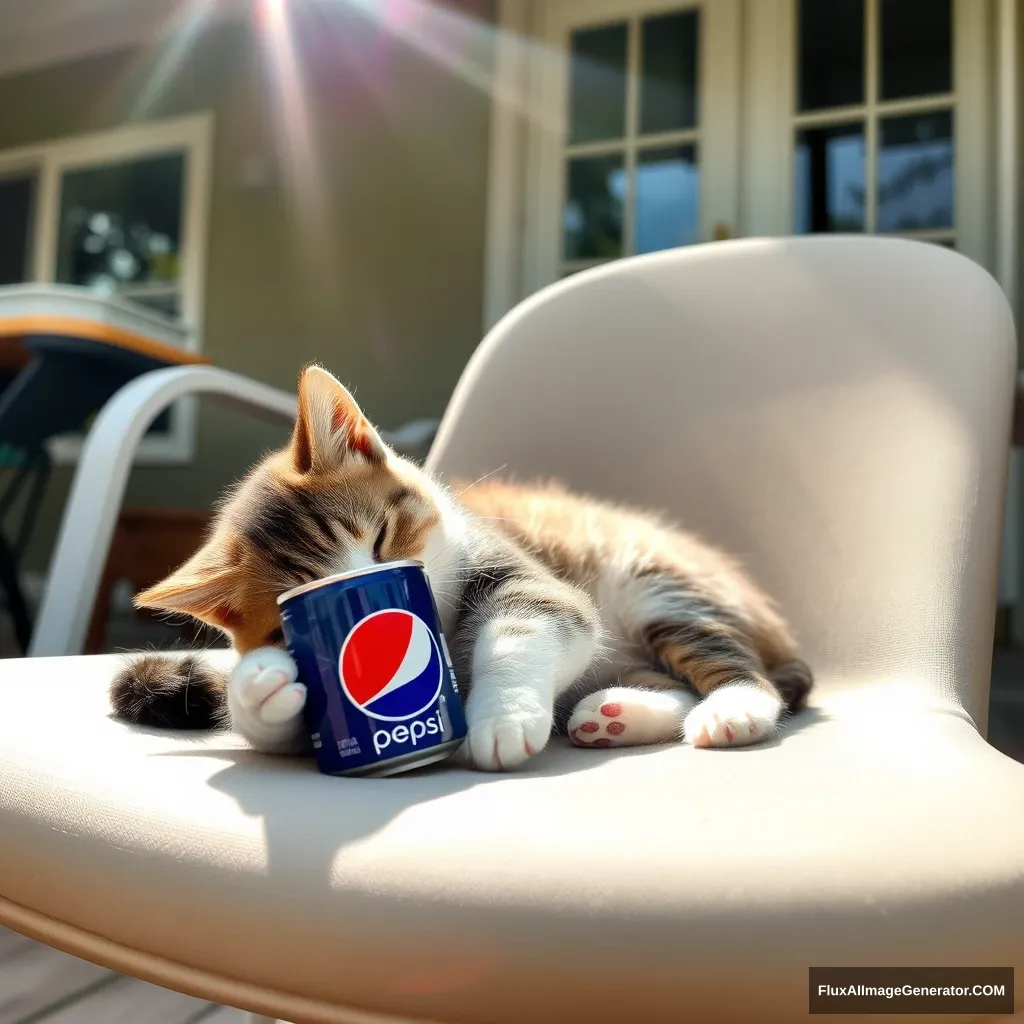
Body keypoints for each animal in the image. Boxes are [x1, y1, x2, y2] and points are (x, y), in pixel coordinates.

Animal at [110, 364, 815, 770]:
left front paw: (501, 717)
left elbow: (525, 626)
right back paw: (615, 713)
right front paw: (260, 687)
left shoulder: (529, 573)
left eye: (382, 539)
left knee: (737, 665)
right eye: (288, 619)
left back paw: (733, 709)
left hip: (659, 582)